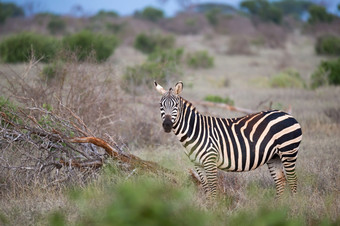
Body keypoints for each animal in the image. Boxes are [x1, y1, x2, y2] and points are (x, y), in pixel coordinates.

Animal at [154, 81, 302, 198]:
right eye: (161, 105)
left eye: (176, 105)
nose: (167, 125)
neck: (194, 131)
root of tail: (288, 114)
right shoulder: (198, 164)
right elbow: (206, 188)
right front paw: (208, 208)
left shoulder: (210, 161)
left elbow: (213, 188)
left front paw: (214, 209)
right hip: (274, 157)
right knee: (281, 181)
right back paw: (279, 207)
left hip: (288, 151)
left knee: (293, 180)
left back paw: (292, 208)